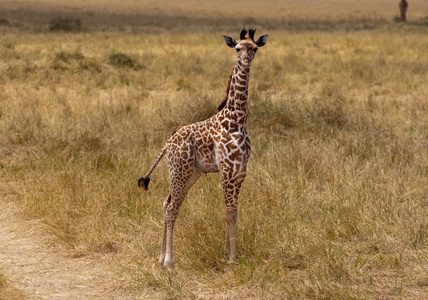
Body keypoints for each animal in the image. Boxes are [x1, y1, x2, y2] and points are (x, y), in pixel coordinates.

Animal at [139, 28, 270, 270]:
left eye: (255, 48)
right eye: (238, 48)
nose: (246, 59)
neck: (238, 120)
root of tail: (167, 144)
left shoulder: (241, 171)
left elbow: (233, 212)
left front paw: (227, 253)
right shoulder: (227, 169)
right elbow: (229, 212)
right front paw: (233, 257)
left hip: (191, 173)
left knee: (166, 202)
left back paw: (160, 257)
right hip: (179, 171)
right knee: (172, 208)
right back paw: (169, 261)